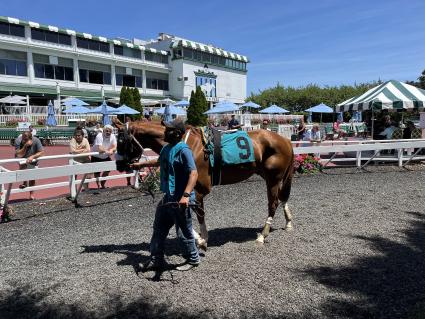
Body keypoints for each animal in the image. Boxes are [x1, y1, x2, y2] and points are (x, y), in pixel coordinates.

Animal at [114, 121, 294, 249]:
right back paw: (288, 222)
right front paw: (198, 237)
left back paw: (263, 235)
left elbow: (198, 213)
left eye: (121, 140)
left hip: (273, 178)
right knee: (283, 198)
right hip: (271, 176)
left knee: (273, 203)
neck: (185, 144)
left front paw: (202, 239)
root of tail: (285, 140)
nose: (119, 165)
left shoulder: (200, 188)